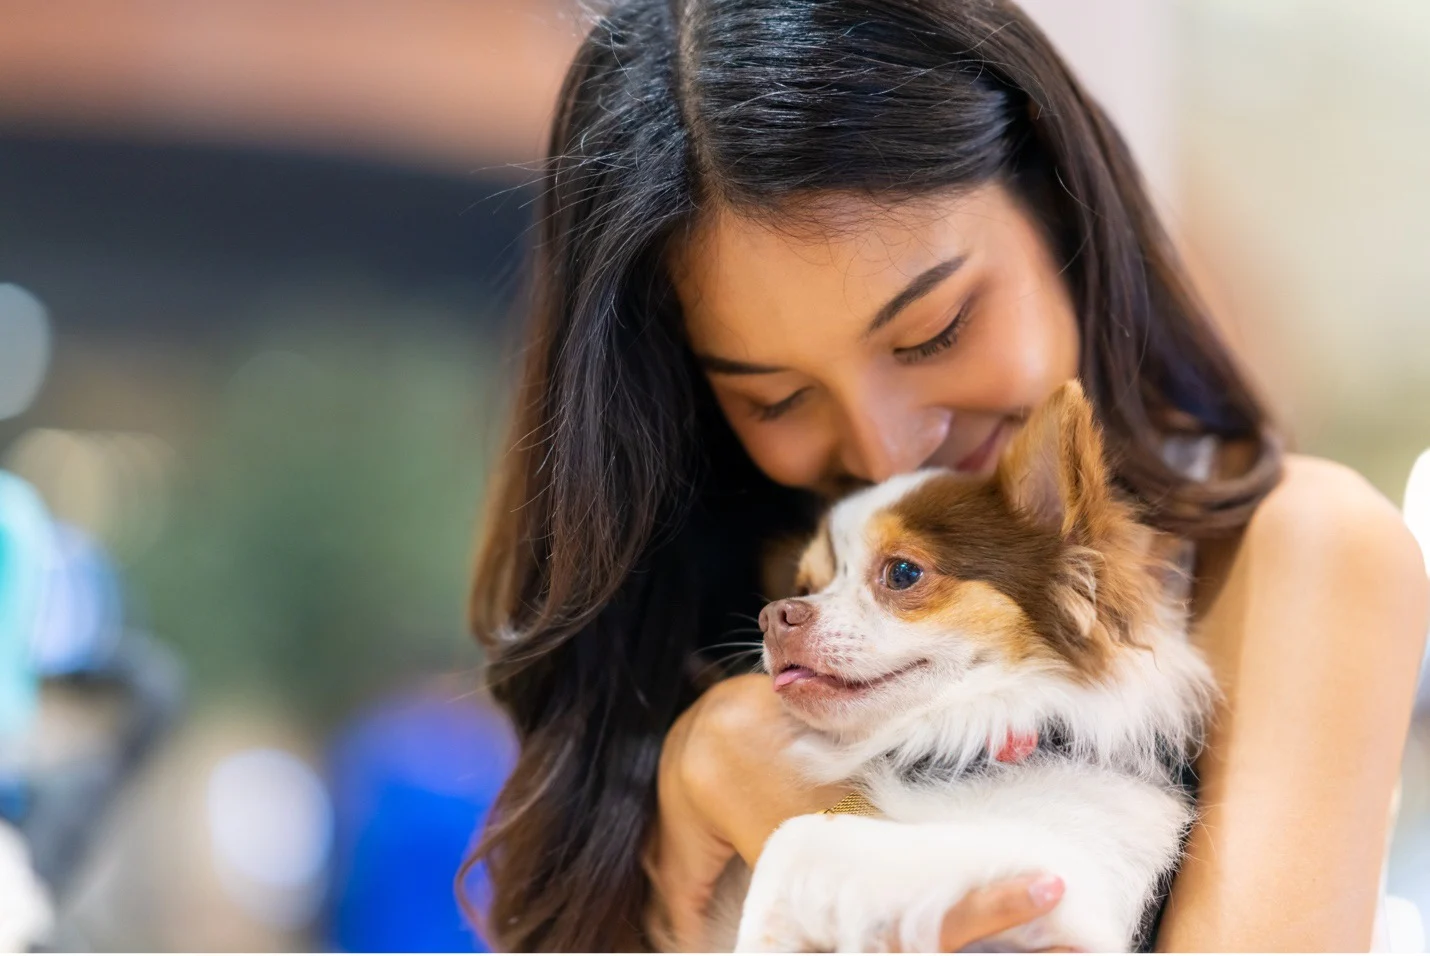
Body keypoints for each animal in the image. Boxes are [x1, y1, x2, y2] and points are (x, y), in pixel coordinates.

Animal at [726, 382, 1218, 948]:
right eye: (805, 586)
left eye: (902, 572)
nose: (773, 616)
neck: (959, 737)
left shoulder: (1067, 882)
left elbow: (798, 837)